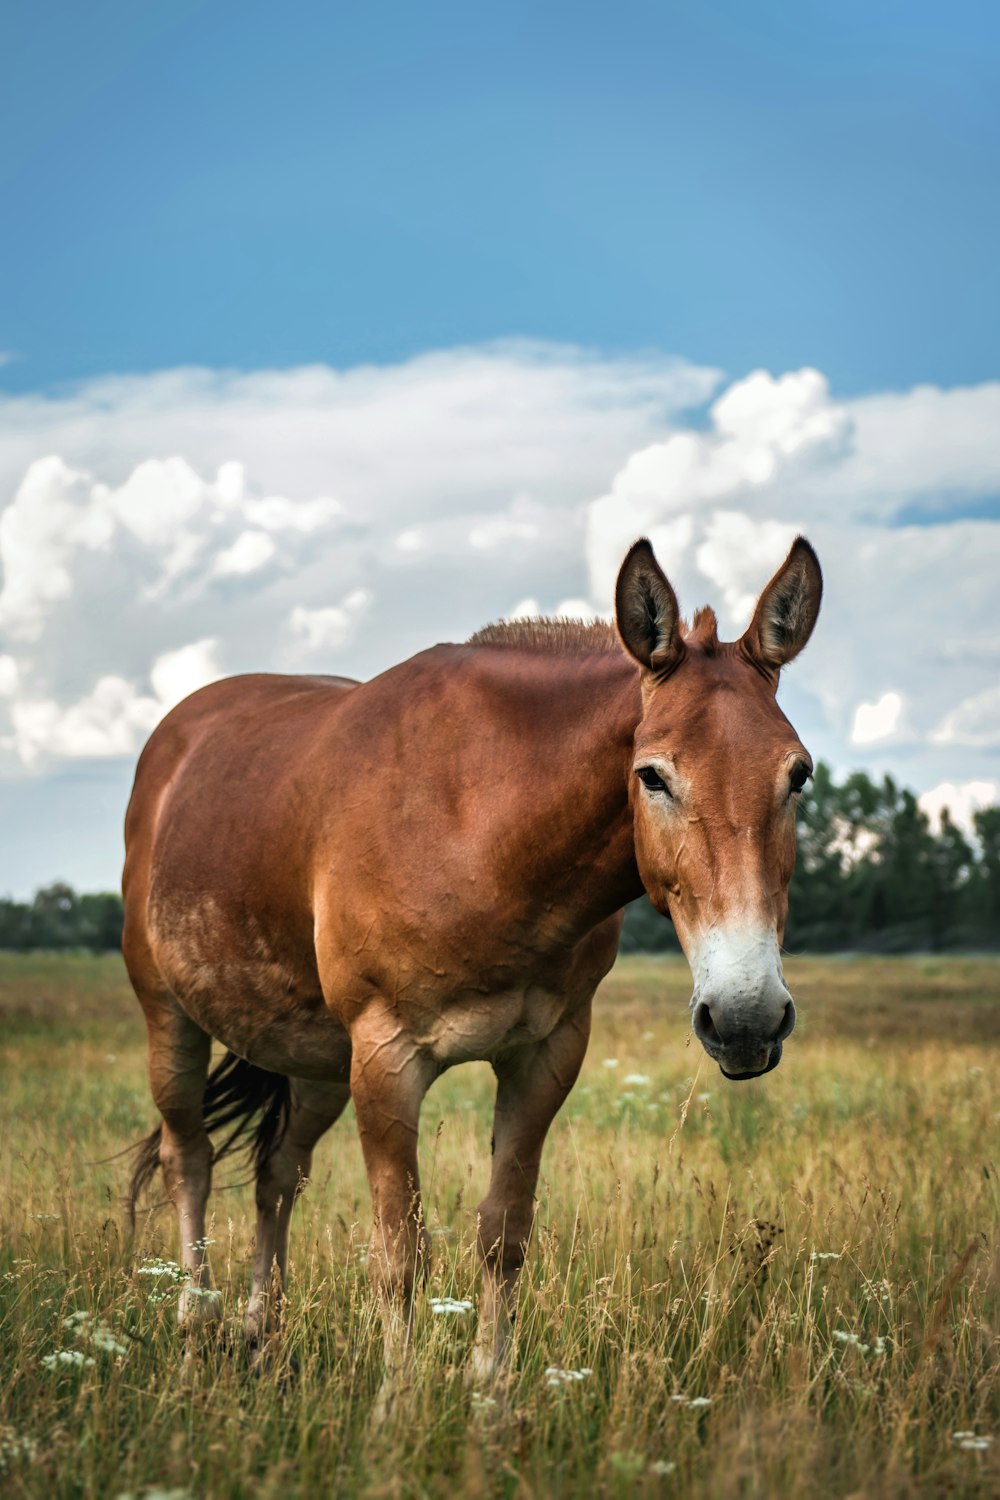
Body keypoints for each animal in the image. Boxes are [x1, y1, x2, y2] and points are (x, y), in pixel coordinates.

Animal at [122, 537, 821, 1392]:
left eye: (798, 775)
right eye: (653, 775)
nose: (746, 1018)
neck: (481, 822)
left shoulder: (544, 1056)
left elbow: (503, 1237)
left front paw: (491, 1396)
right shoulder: (387, 1061)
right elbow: (400, 1254)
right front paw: (397, 1406)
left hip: (317, 1063)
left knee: (276, 1174)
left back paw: (264, 1338)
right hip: (174, 1022)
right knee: (187, 1159)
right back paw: (197, 1337)